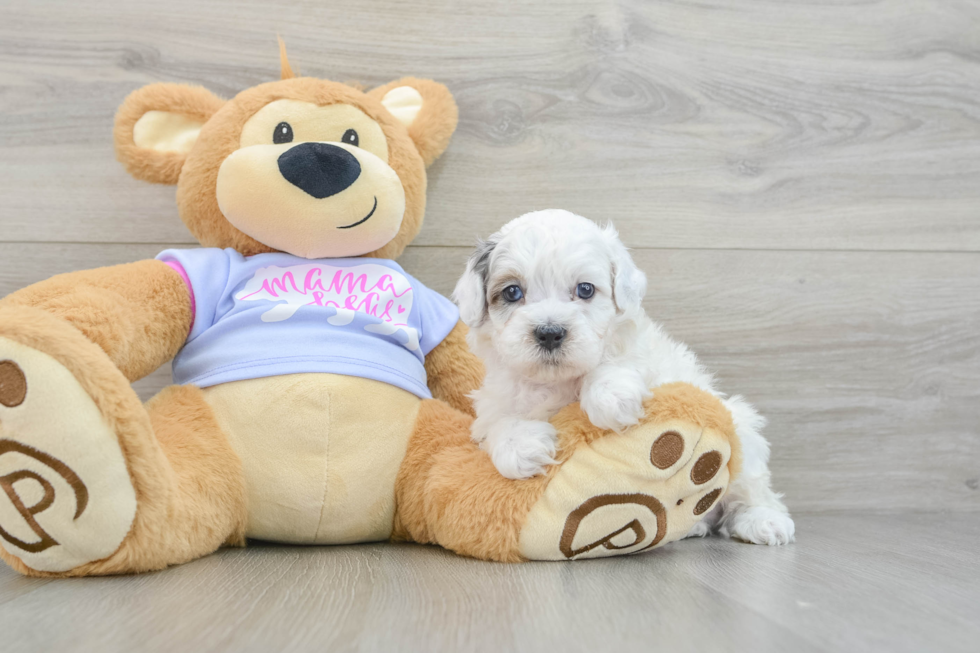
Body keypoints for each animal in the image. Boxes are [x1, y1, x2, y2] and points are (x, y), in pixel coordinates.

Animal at [452, 210, 796, 544]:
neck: (558, 381)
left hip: (743, 436)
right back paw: (693, 526)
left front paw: (610, 397)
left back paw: (762, 521)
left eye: (585, 289)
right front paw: (522, 448)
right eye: (512, 292)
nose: (550, 332)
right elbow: (498, 421)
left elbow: (619, 362)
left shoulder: (652, 364)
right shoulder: (496, 397)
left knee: (750, 490)